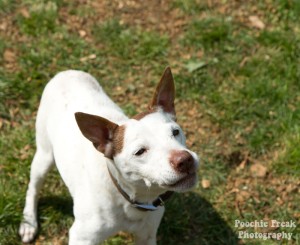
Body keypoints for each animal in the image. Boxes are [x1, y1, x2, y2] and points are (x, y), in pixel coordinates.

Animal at [19, 67, 200, 245]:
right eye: (140, 151)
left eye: (176, 132)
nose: (185, 160)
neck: (130, 197)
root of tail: (66, 72)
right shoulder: (82, 238)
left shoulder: (146, 236)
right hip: (44, 156)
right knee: (33, 188)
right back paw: (29, 222)